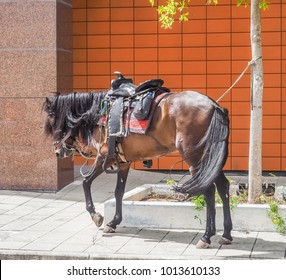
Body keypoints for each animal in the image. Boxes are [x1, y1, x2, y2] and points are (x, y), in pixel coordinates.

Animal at [44, 88, 232, 248]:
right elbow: (119, 192)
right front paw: (113, 222)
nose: (57, 151)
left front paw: (96, 216)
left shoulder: (104, 156)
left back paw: (206, 237)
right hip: (210, 160)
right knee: (223, 187)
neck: (99, 115)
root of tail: (213, 106)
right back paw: (226, 234)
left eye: (52, 120)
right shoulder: (123, 163)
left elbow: (86, 182)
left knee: (208, 191)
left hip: (196, 159)